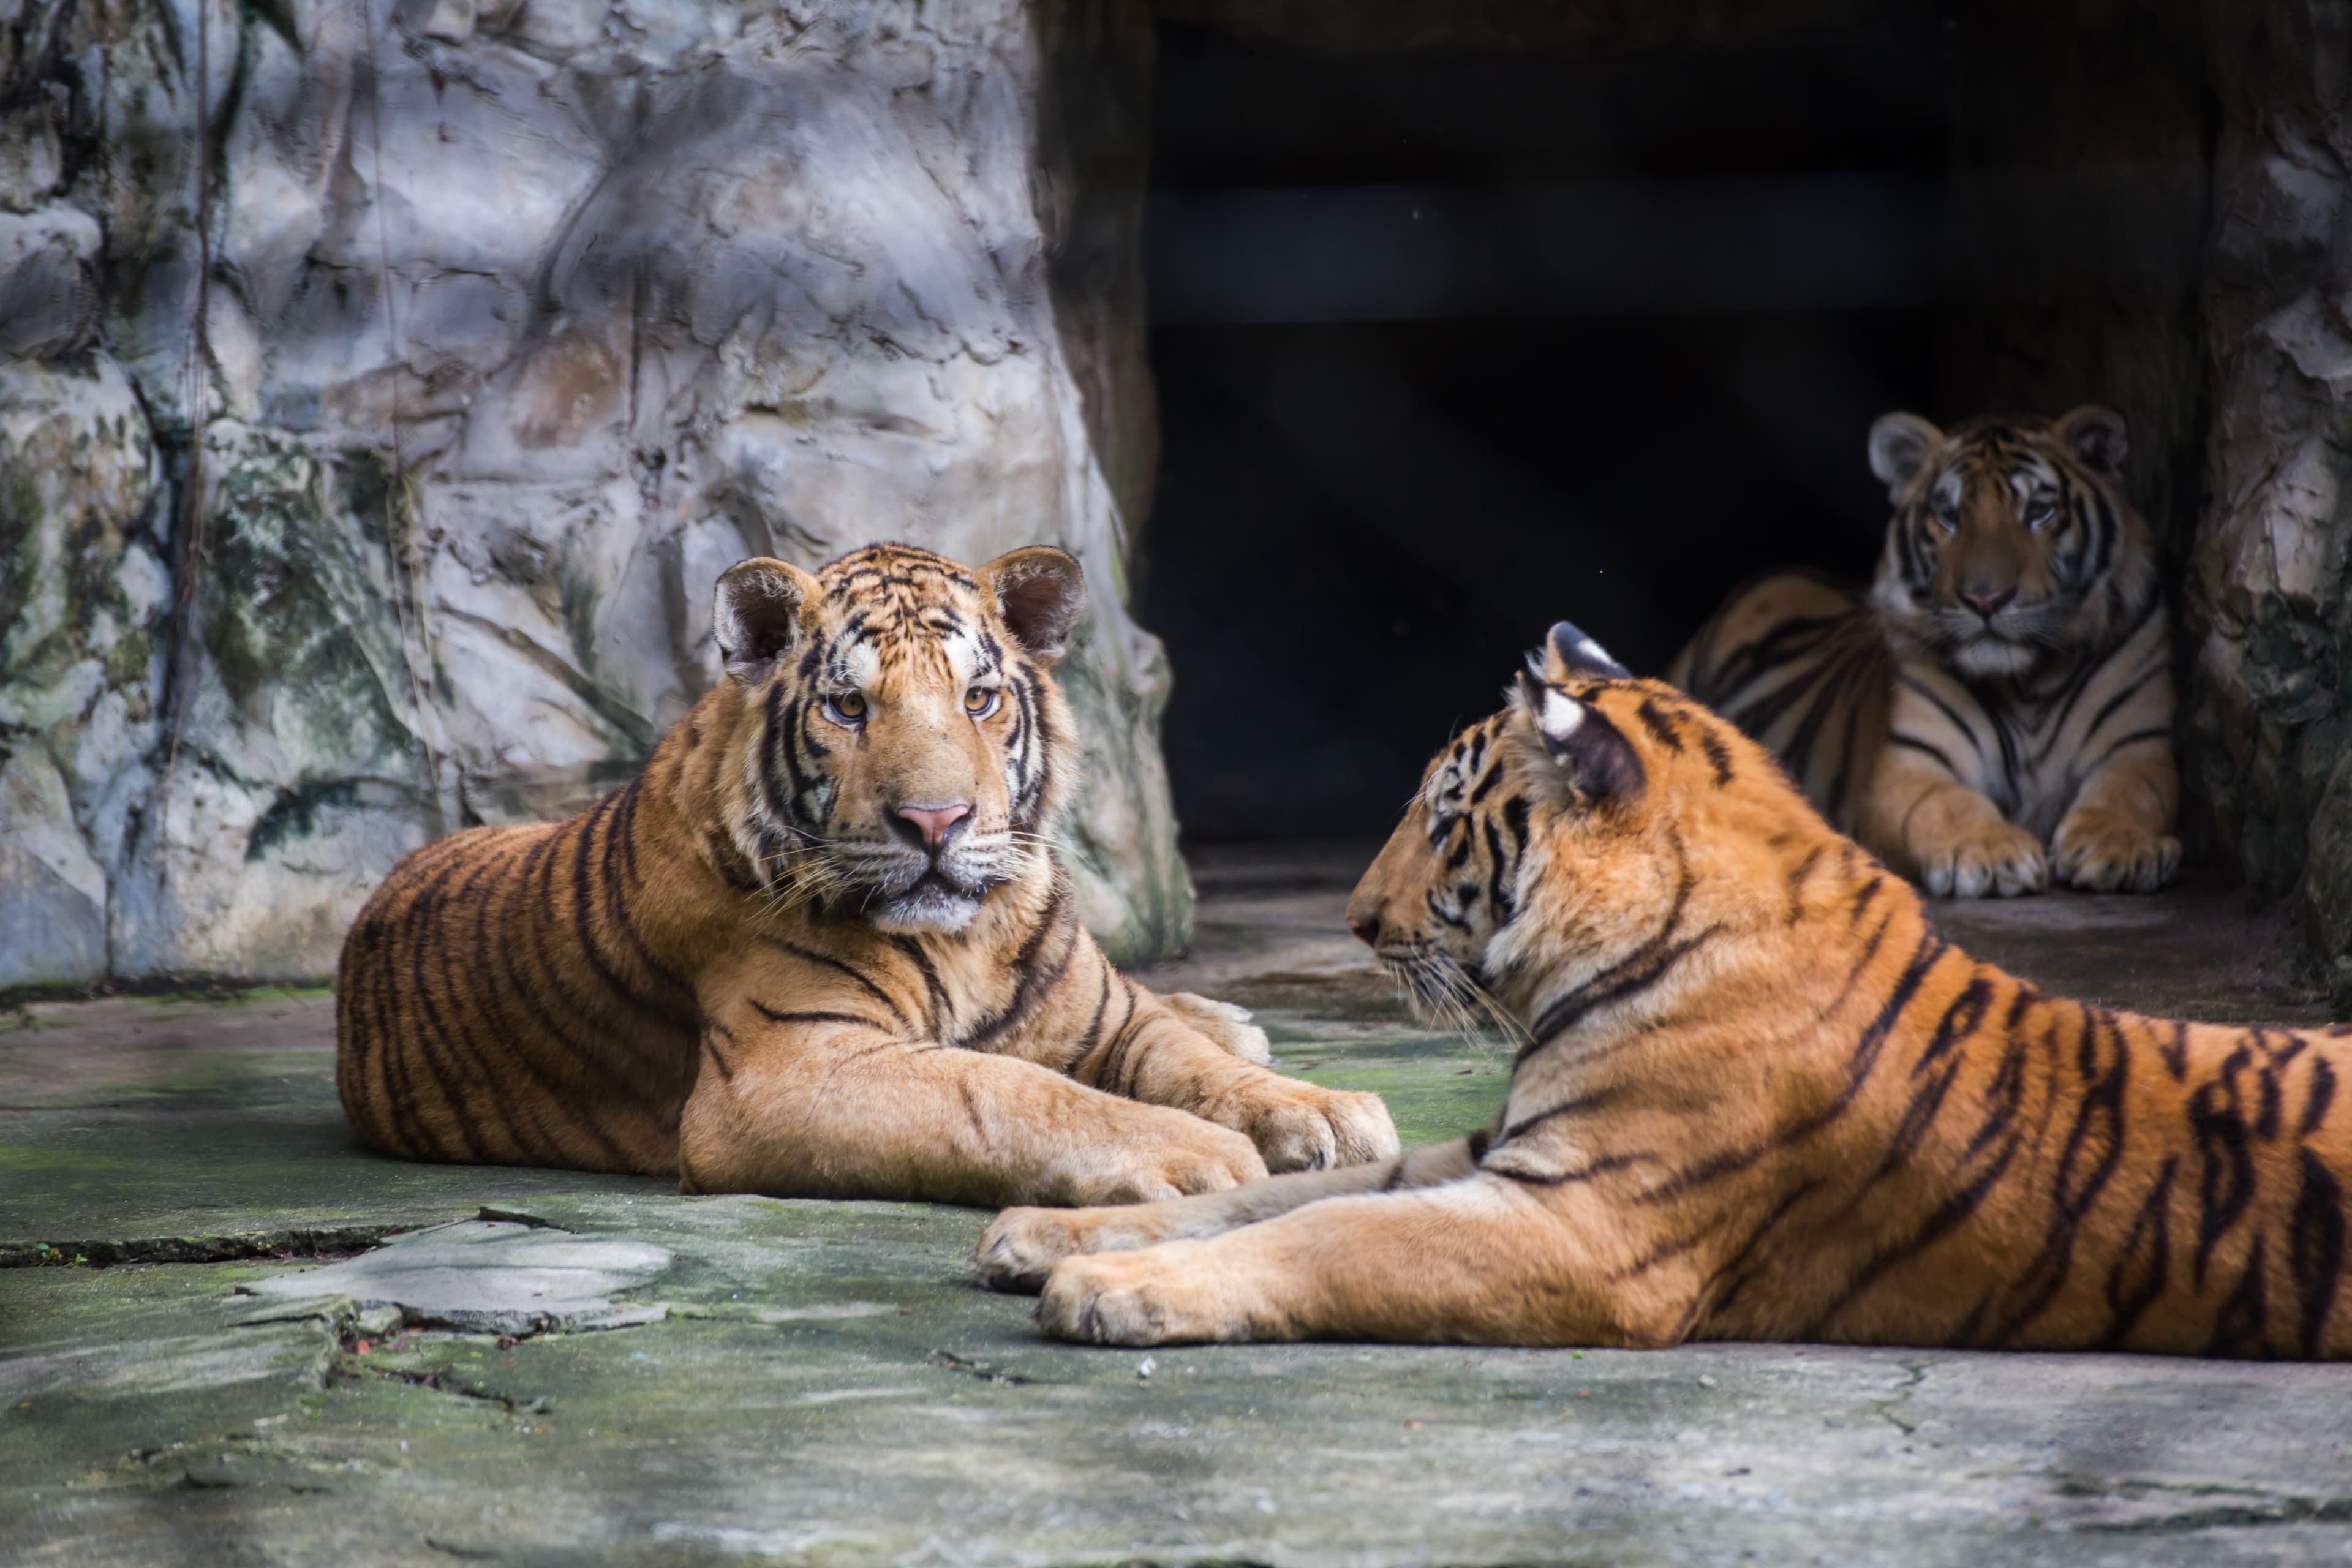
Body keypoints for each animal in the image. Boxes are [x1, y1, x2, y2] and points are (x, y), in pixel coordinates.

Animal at [336, 542, 1397, 1205]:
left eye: (979, 699)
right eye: (849, 707)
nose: (935, 821)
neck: (973, 934)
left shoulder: (1105, 1012)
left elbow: (1187, 1060)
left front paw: (1327, 1112)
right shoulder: (786, 1073)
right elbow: (1004, 1091)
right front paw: (1199, 1154)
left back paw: (1236, 1020)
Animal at [974, 623, 2352, 1355]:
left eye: (1441, 817)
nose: (1355, 922)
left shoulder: (1585, 1226)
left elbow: (1330, 1232)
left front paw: (1112, 1291)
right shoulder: (1503, 1153)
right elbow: (1283, 1192)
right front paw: (1046, 1234)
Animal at [1667, 405, 2179, 900]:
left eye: (2039, 512)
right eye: (1949, 517)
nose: (1985, 599)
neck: (2025, 684)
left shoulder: (2140, 743)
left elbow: (2134, 790)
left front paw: (2120, 847)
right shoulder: (1911, 765)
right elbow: (1946, 804)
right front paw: (1989, 852)